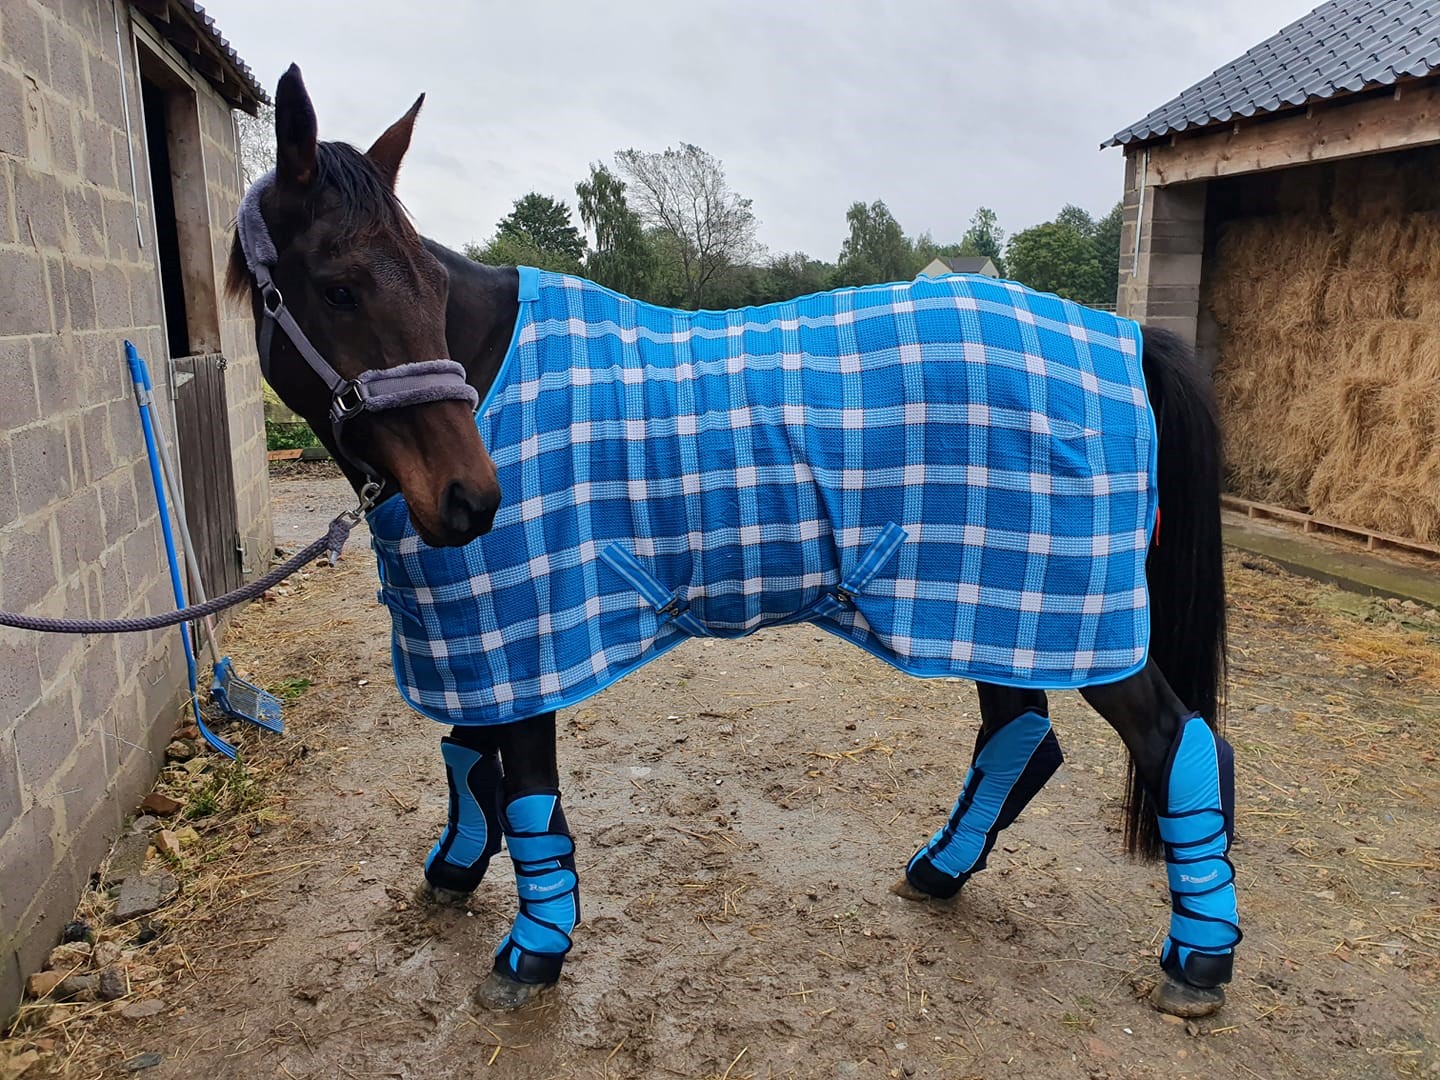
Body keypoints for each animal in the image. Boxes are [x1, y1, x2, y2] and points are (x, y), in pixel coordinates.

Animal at [224, 65, 1238, 1013]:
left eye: (429, 288)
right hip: (991, 606)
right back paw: (941, 871)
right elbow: (467, 760)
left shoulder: (533, 630)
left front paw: (533, 950)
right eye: (340, 288)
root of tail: (1124, 335)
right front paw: (453, 871)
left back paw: (1199, 961)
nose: (472, 500)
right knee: (1020, 735)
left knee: (1177, 740)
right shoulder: (474, 634)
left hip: (1071, 610)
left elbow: (525, 787)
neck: (491, 368)